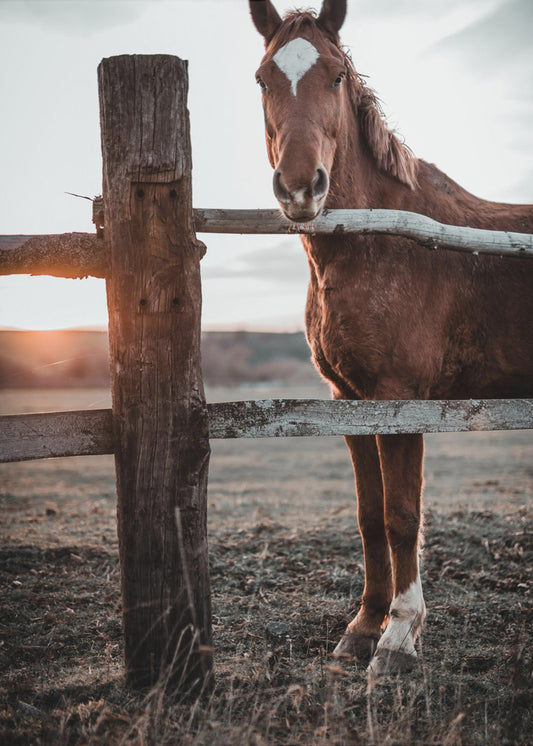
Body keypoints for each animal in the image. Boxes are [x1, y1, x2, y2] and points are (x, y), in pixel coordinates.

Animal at [249, 0, 533, 676]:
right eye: (262, 79)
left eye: (335, 76)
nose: (299, 187)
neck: (378, 239)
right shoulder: (349, 401)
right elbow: (369, 517)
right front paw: (362, 628)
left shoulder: (400, 398)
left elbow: (402, 516)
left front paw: (399, 638)